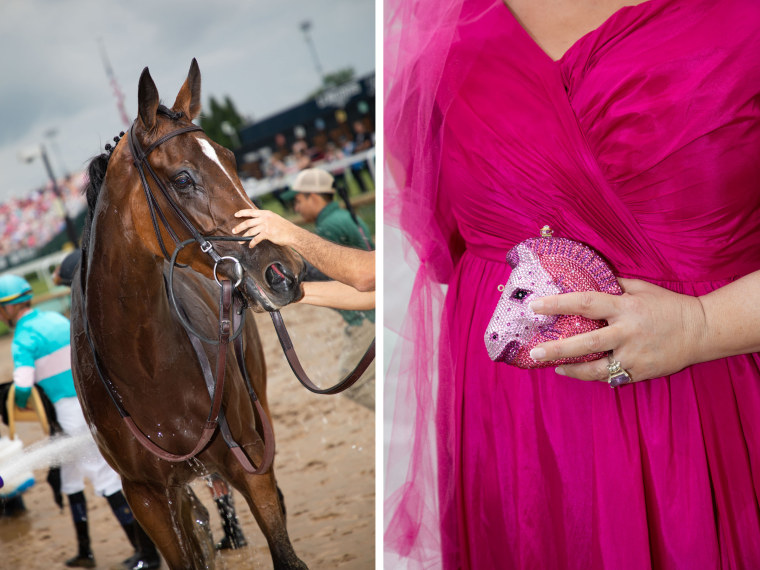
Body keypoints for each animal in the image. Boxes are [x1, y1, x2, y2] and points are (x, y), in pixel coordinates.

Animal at [69, 60, 308, 564]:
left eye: (233, 160)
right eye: (182, 179)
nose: (284, 270)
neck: (146, 365)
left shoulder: (251, 461)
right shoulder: (146, 496)